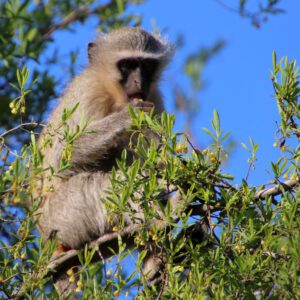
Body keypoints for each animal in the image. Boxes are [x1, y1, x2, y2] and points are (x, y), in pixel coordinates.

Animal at [35, 28, 173, 262]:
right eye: (127, 65)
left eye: (146, 65)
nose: (139, 82)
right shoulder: (89, 93)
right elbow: (62, 158)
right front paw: (127, 116)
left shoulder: (154, 99)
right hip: (61, 218)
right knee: (106, 184)